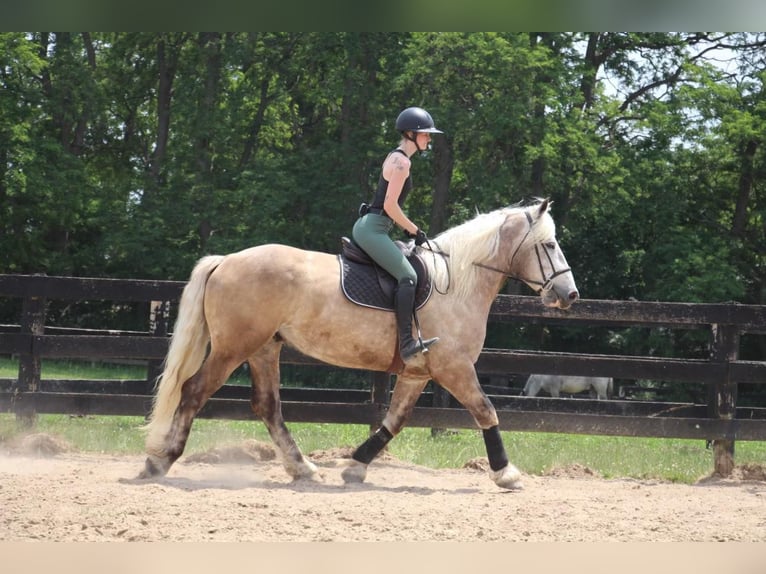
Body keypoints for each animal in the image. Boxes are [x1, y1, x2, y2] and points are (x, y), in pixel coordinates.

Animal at [140, 198, 584, 490]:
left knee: (267, 407)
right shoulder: (454, 368)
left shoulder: (418, 373)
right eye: (549, 245)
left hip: (265, 348)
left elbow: (394, 421)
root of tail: (226, 260)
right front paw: (506, 472)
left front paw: (355, 467)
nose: (570, 294)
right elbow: (485, 410)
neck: (457, 282)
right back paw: (159, 461)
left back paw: (303, 470)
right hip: (233, 348)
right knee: (193, 391)